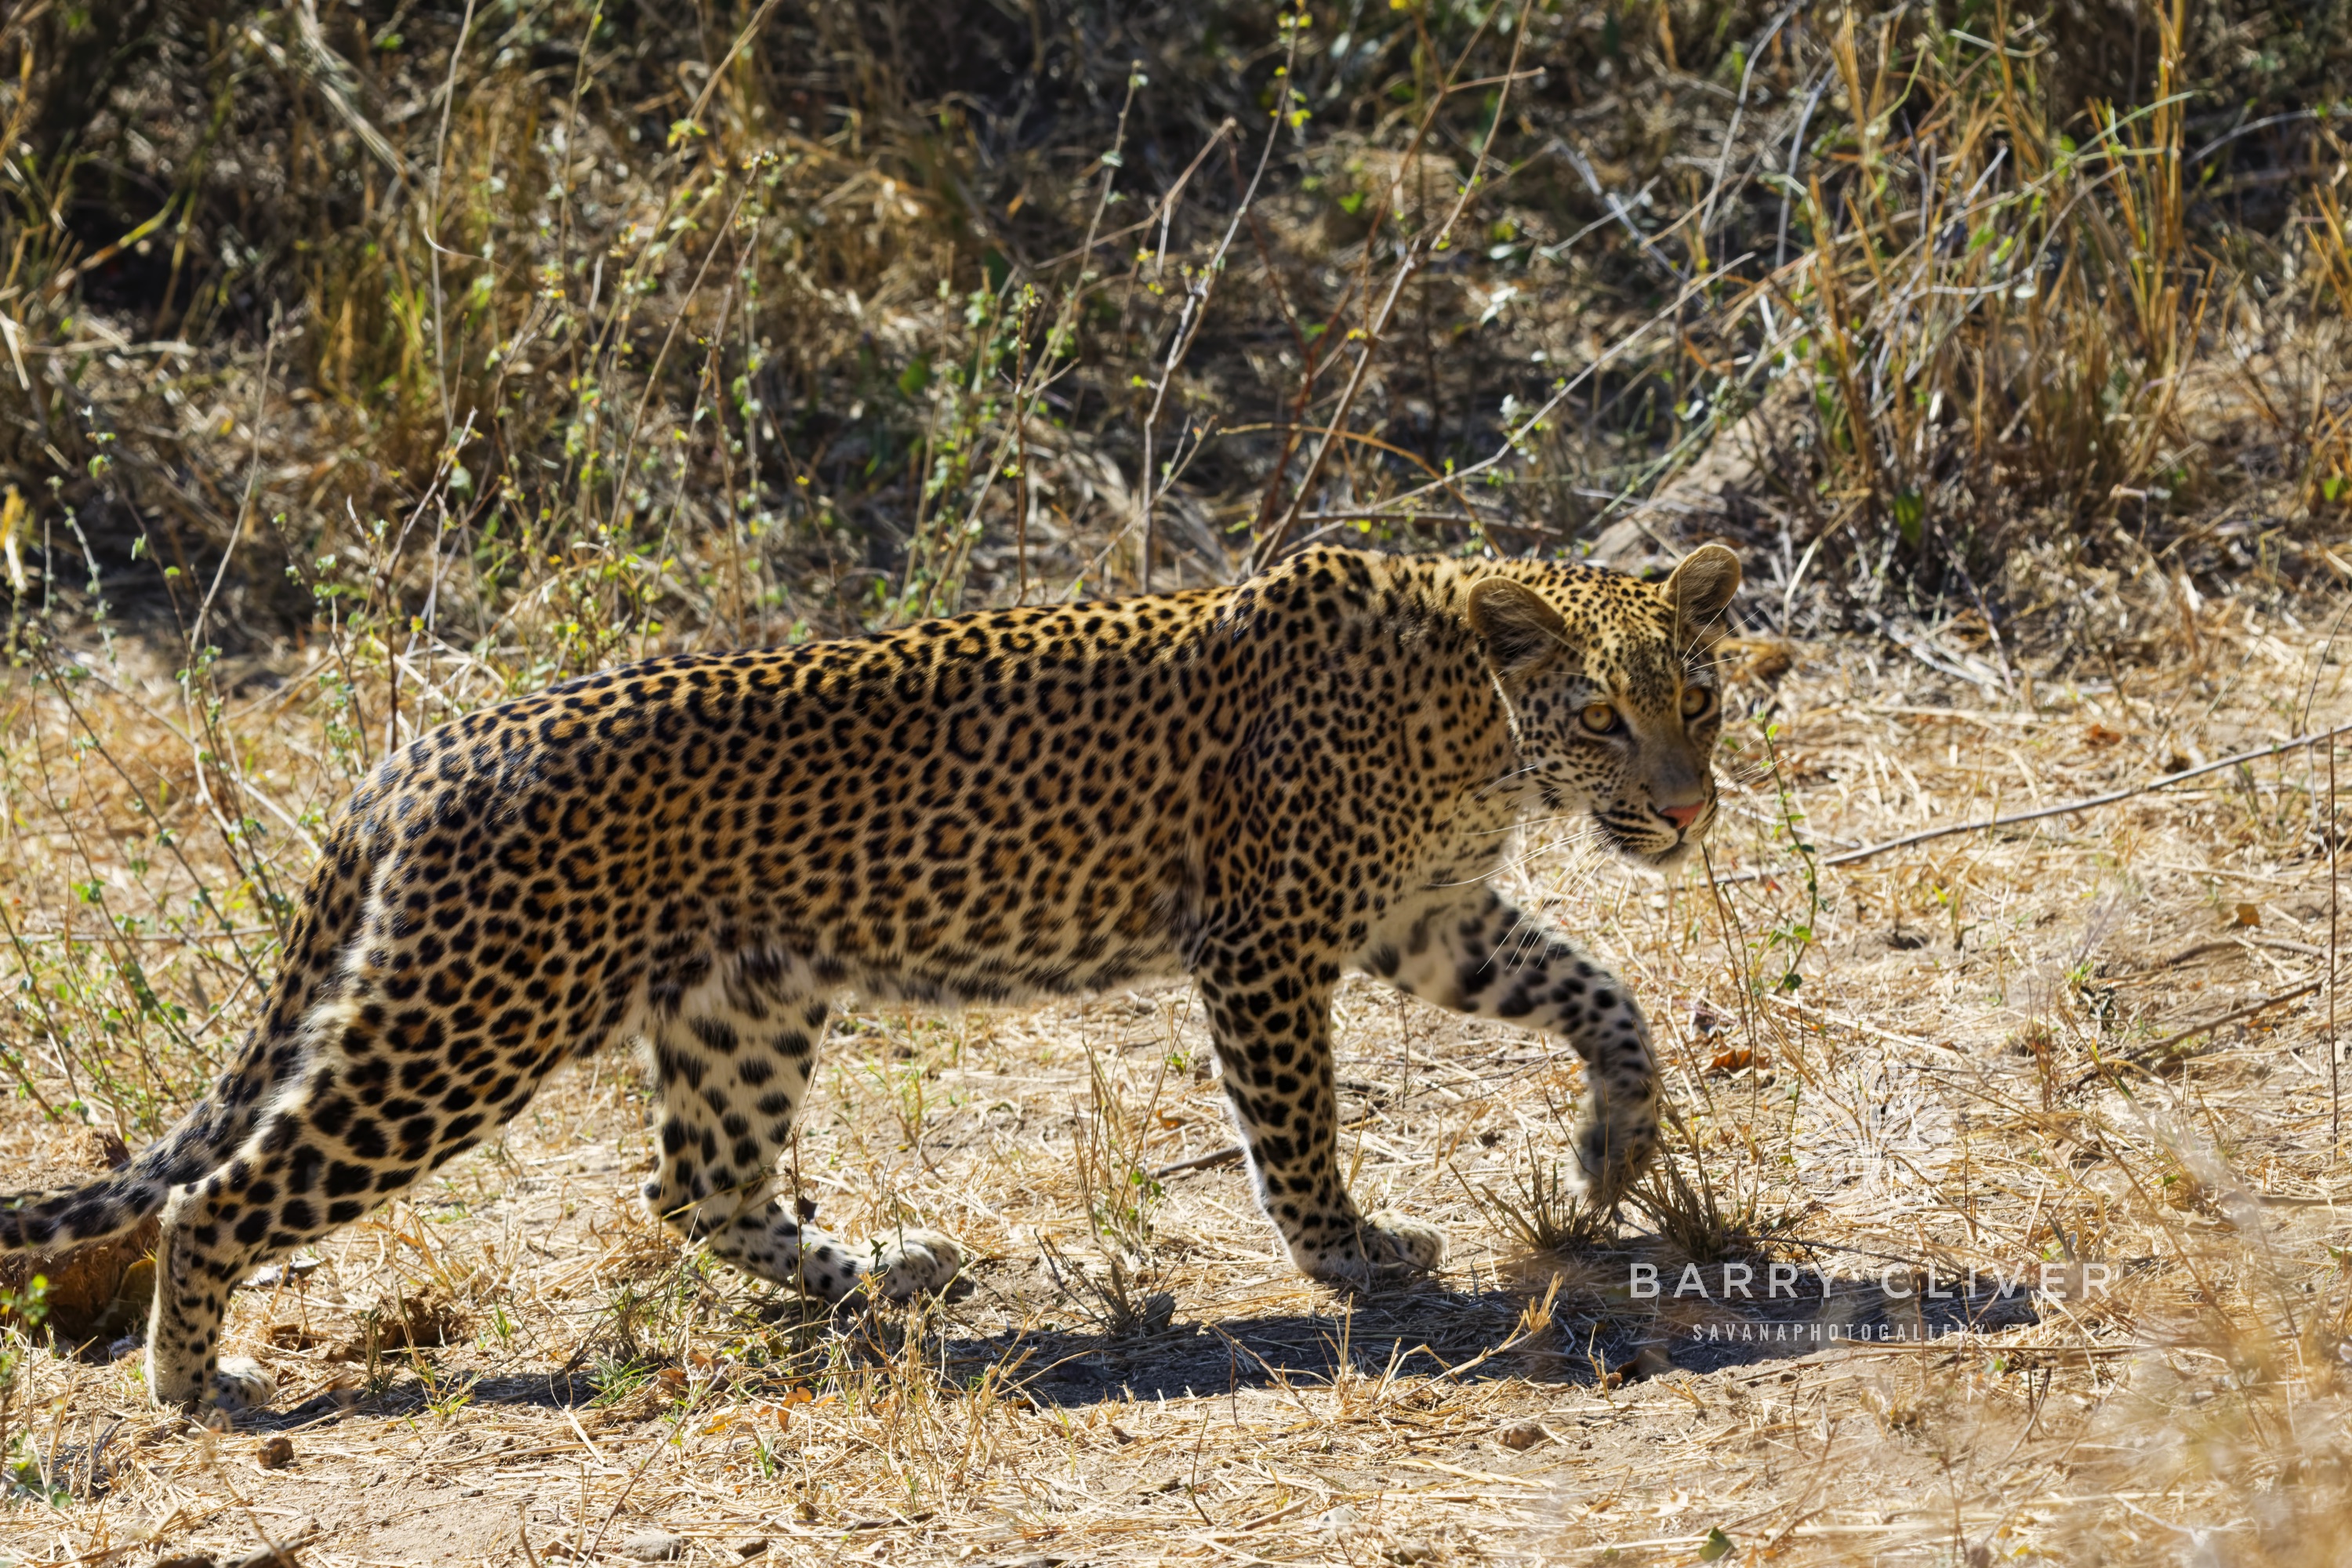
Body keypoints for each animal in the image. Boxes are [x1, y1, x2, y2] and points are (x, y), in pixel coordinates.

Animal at [0, 541, 1741, 1412]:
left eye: (1703, 699)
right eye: (1603, 715)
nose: (1681, 810)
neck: (1477, 726)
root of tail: (423, 750)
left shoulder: (1424, 915)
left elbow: (1602, 995)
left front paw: (1615, 1147)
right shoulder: (1271, 934)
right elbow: (1297, 1124)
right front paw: (1351, 1257)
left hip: (742, 1000)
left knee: (696, 1182)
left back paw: (890, 1271)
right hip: (471, 1016)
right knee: (222, 1190)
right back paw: (193, 1380)